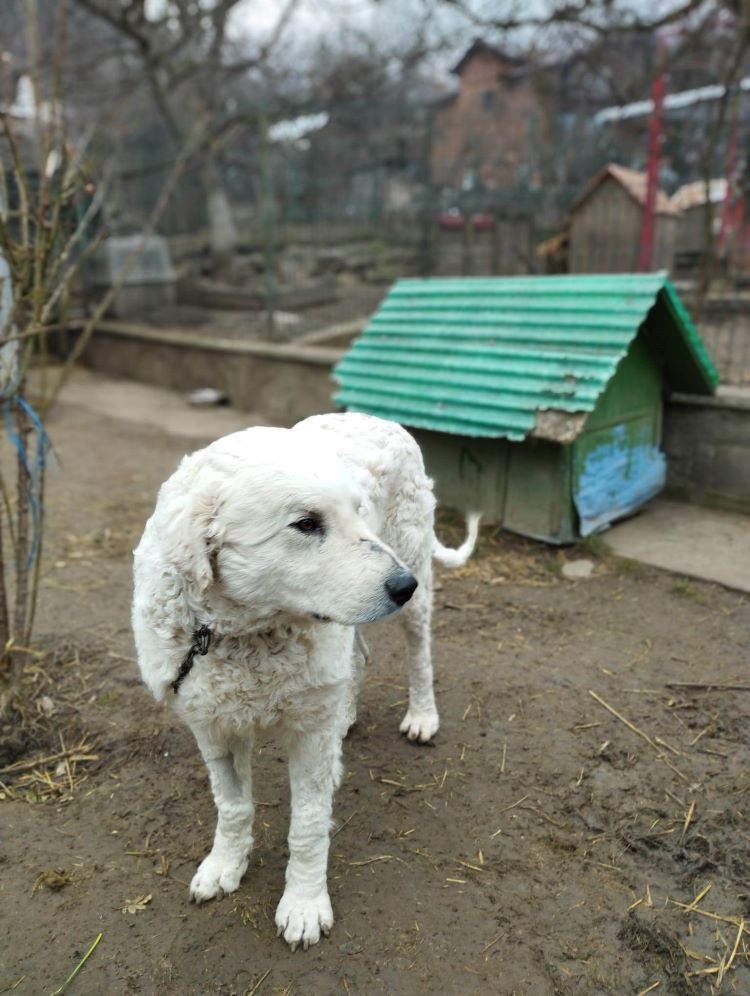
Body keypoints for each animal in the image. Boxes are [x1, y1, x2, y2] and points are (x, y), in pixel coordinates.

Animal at [132, 412, 478, 948]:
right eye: (306, 524)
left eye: (357, 512)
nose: (403, 585)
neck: (240, 633)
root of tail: (379, 417)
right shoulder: (212, 727)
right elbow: (232, 806)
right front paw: (224, 866)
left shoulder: (309, 735)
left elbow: (309, 826)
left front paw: (304, 904)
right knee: (357, 658)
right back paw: (348, 716)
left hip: (412, 565)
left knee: (418, 653)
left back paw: (423, 716)